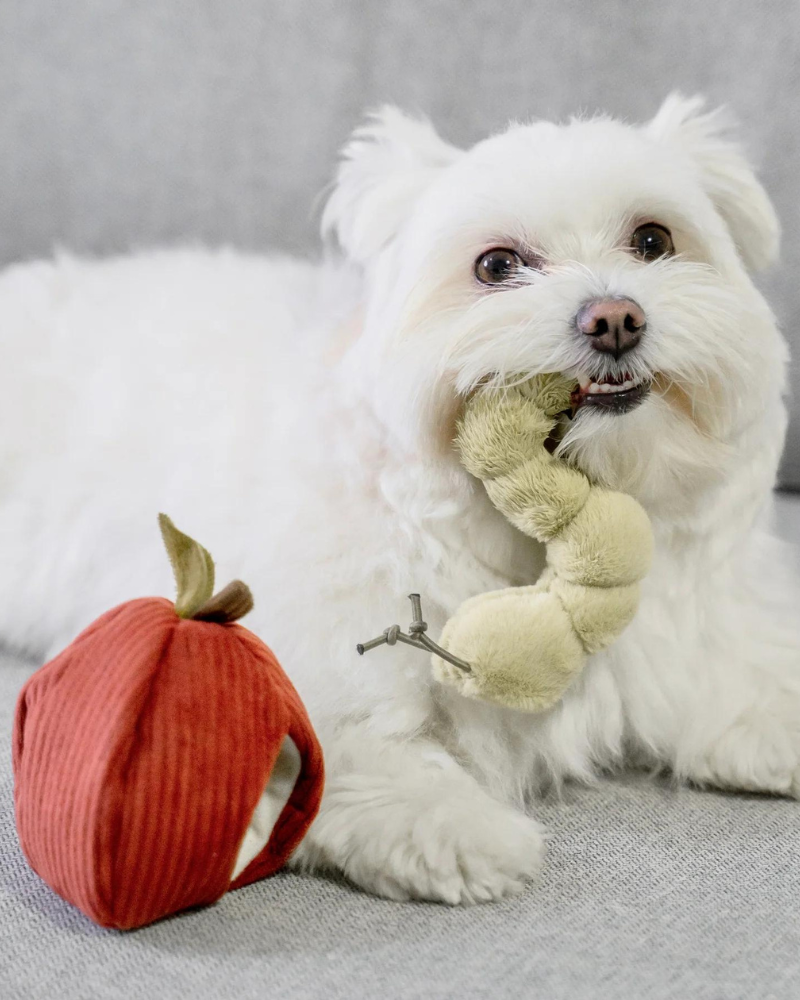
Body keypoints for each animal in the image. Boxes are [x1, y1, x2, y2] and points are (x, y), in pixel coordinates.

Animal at [1, 94, 800, 908]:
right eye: (497, 266)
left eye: (653, 240)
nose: (614, 318)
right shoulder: (303, 648)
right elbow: (351, 744)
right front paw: (448, 824)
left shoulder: (700, 616)